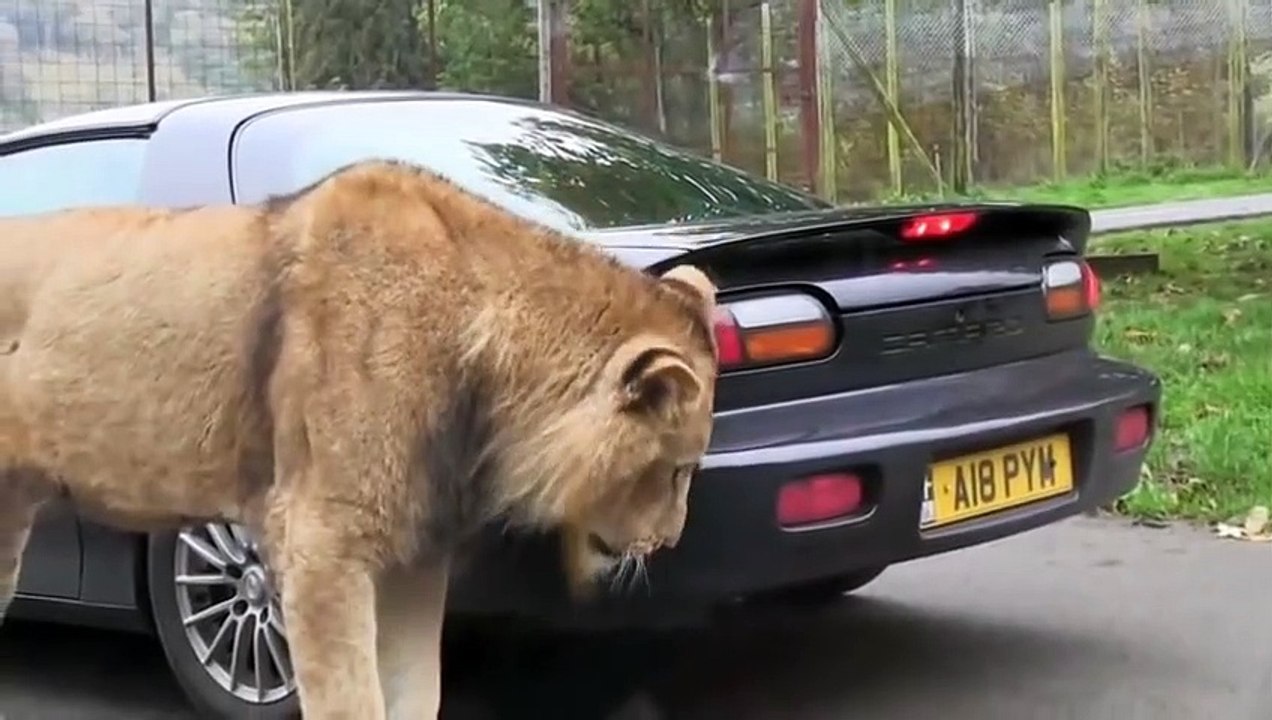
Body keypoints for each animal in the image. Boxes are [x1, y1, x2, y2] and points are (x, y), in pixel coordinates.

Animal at [0, 159, 719, 719]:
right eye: (678, 470)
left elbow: (417, 693)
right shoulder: (322, 545)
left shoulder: (415, 556)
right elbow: (351, 700)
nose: (669, 541)